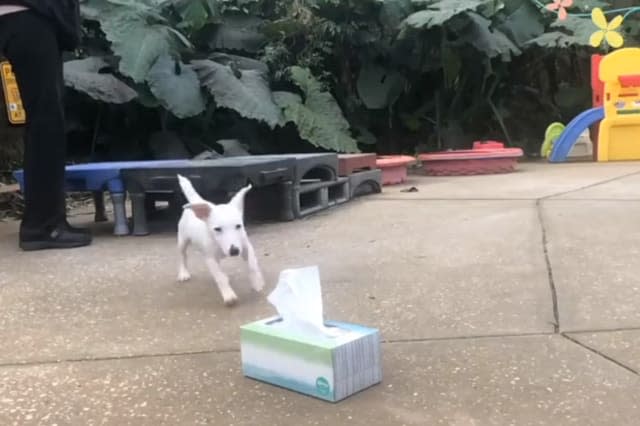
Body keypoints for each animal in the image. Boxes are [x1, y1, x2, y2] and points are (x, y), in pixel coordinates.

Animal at [176, 174, 264, 306]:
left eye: (238, 226)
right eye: (217, 229)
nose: (234, 251)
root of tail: (196, 201)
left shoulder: (246, 247)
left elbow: (252, 266)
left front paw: (257, 283)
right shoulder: (210, 258)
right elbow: (219, 277)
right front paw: (229, 295)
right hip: (182, 240)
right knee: (182, 256)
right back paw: (183, 273)